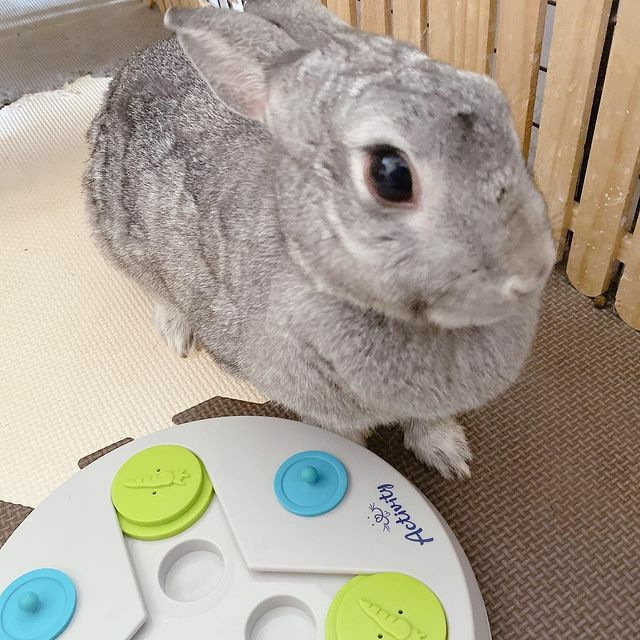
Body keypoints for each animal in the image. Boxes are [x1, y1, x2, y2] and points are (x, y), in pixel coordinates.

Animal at [84, 0, 555, 479]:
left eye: (500, 109)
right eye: (390, 174)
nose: (533, 269)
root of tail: (127, 70)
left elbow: (429, 422)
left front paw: (451, 457)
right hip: (118, 235)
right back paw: (177, 330)